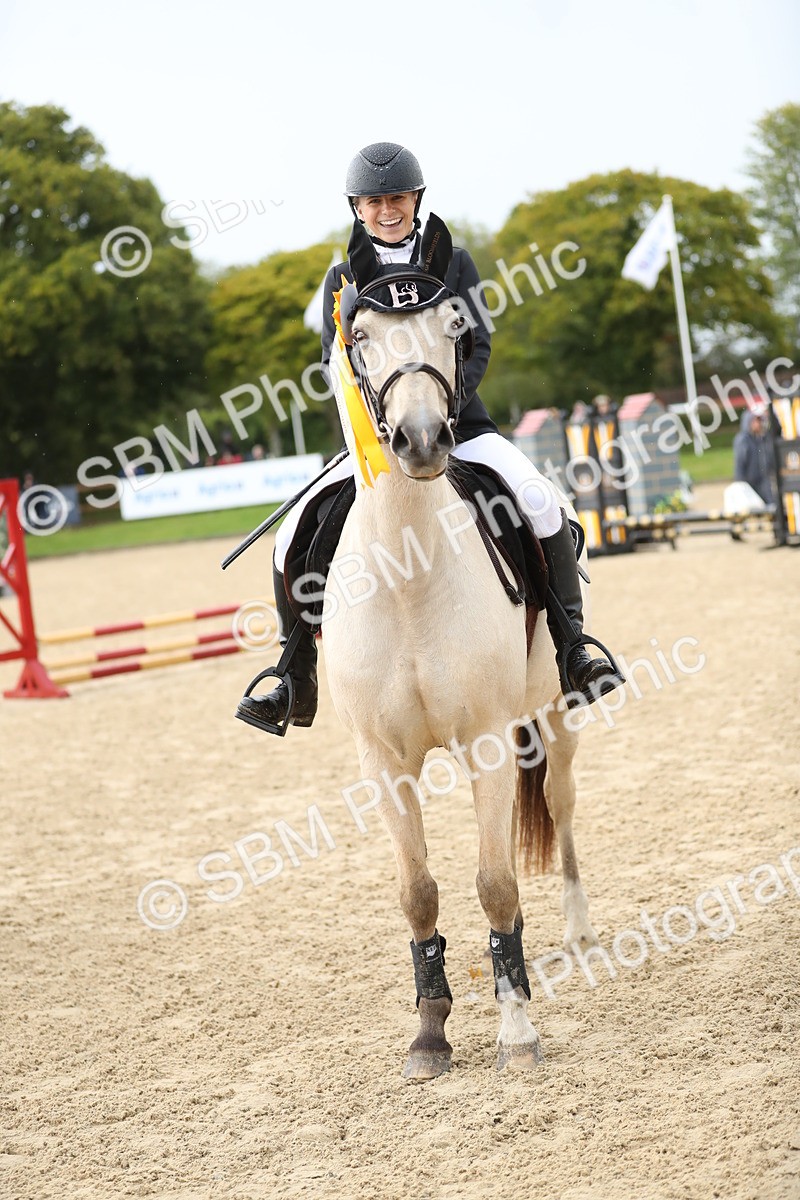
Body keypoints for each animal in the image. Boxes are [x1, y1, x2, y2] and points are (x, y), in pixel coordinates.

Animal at [320, 218, 599, 1080]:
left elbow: (496, 884)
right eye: (360, 336)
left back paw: (575, 931)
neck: (409, 576)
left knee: (562, 810)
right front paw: (430, 1031)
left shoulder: (484, 741)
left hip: (556, 715)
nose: (419, 440)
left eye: (454, 327)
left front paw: (517, 1030)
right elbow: (419, 893)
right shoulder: (382, 759)